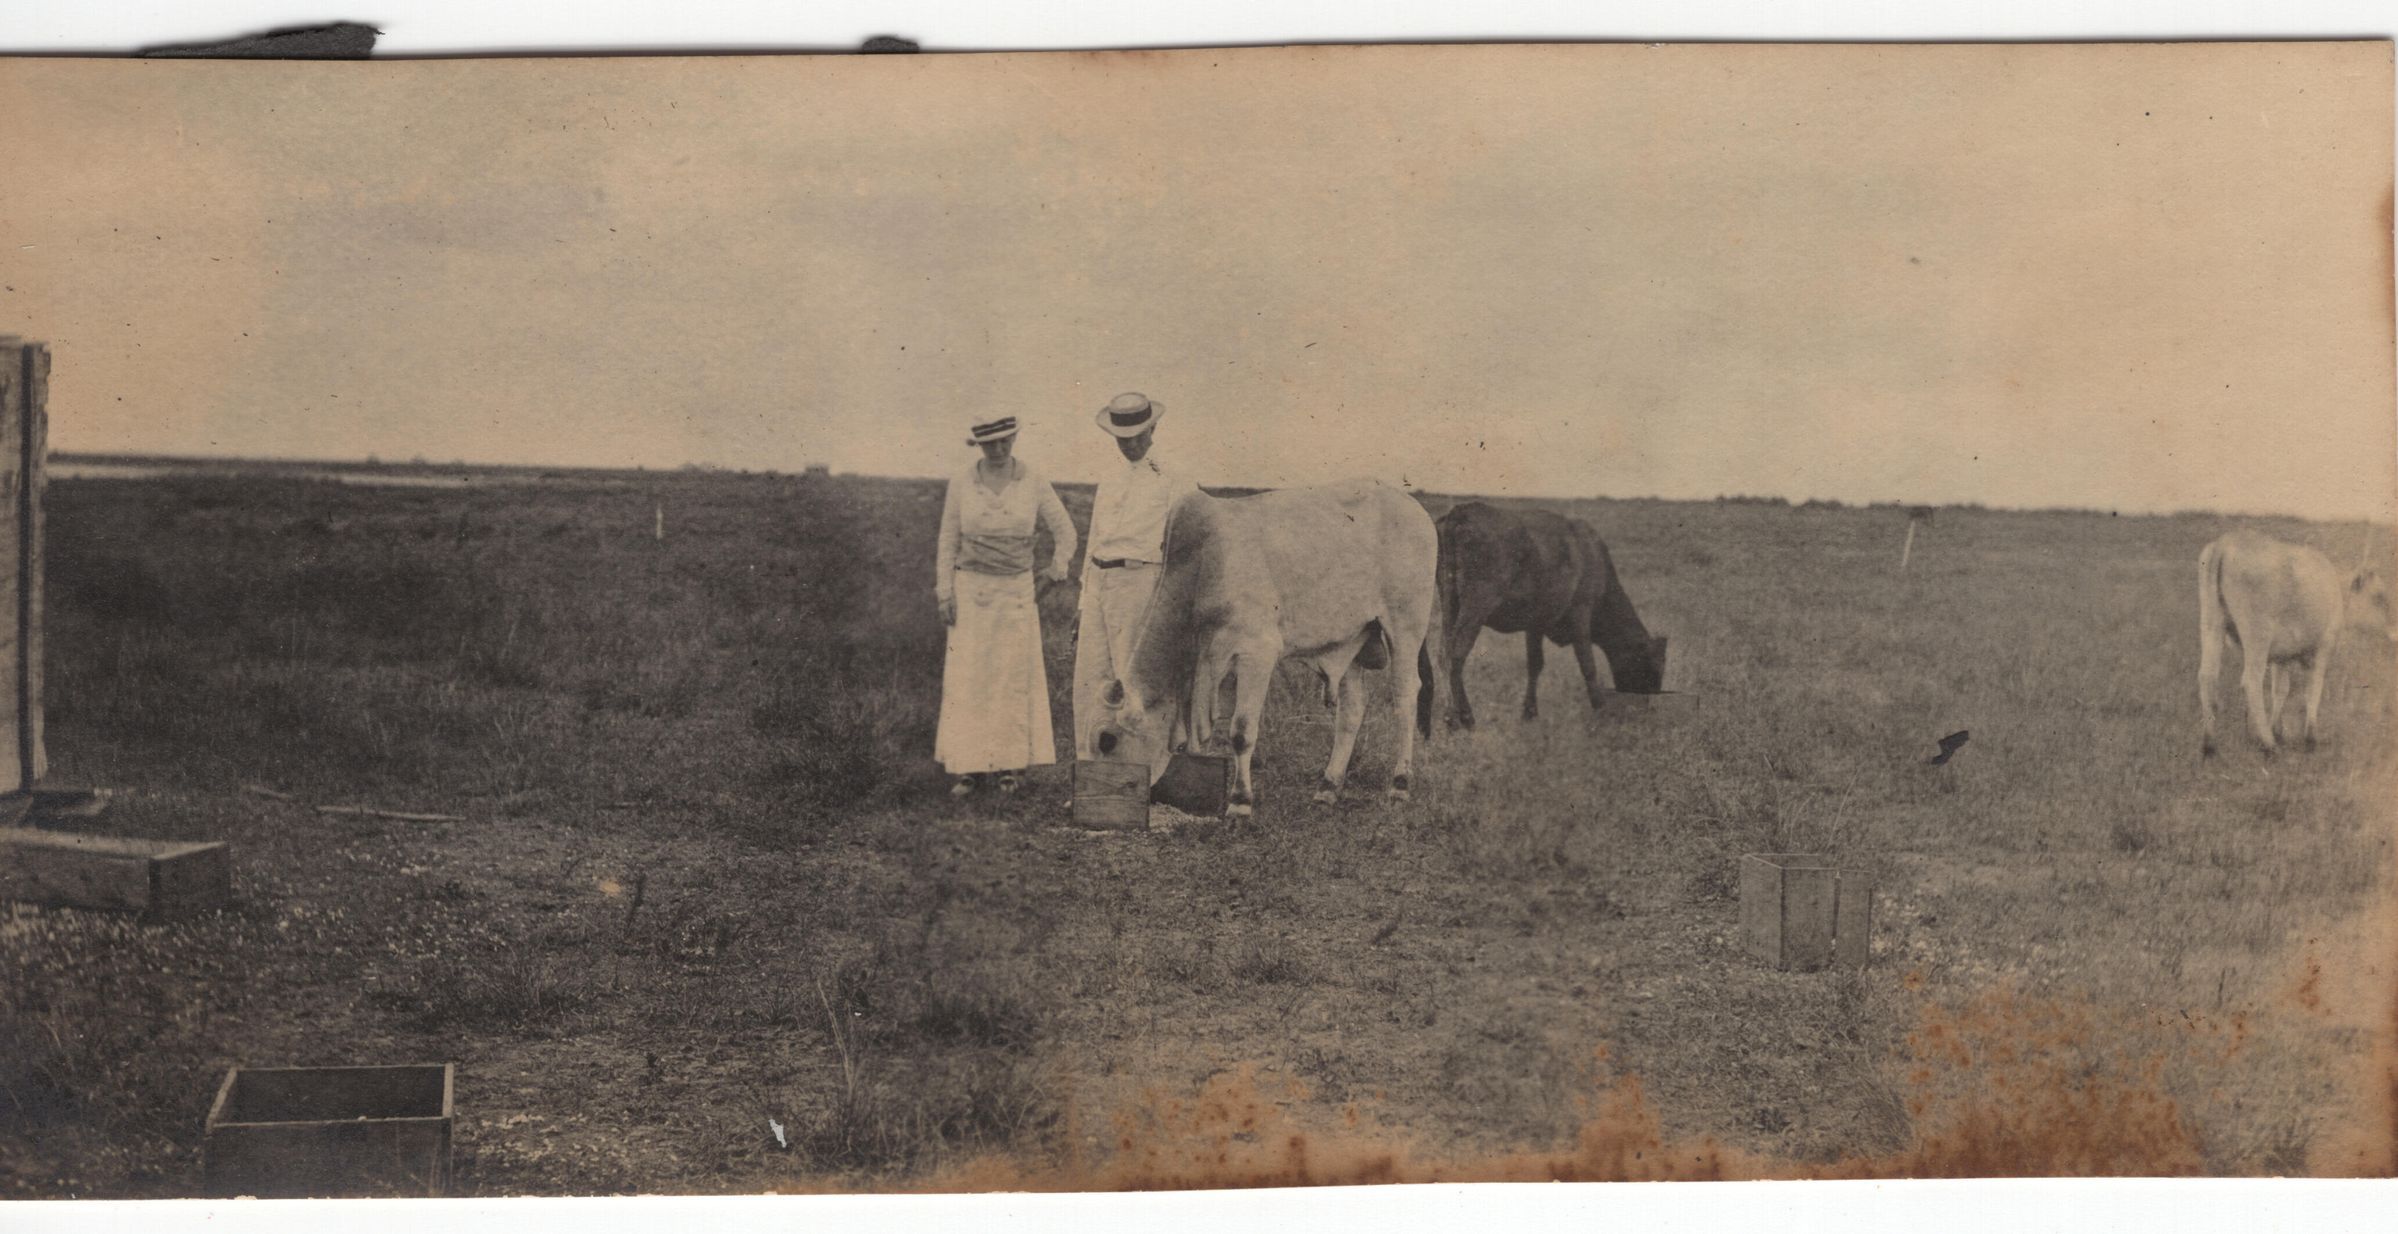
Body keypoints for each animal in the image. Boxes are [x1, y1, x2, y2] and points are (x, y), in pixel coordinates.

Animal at [1094, 480, 1439, 816]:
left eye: (1107, 741)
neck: (1203, 568)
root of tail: (1414, 507)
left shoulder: (1256, 652)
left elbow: (1241, 731)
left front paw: (1240, 802)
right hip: (1352, 637)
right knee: (1352, 708)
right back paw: (1328, 787)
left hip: (1405, 625)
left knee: (1405, 696)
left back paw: (1399, 785)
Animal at [1433, 501, 1668, 730]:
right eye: (1653, 668)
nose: (1647, 712)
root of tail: (1462, 510)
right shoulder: (1581, 611)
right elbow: (1588, 665)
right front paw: (1600, 711)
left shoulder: (1535, 623)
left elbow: (1535, 664)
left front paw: (1529, 713)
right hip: (1478, 601)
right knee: (1456, 653)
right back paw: (1465, 717)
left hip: (1449, 601)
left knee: (1443, 652)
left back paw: (1450, 718)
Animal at [2198, 530, 2393, 756]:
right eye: (2378, 597)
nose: (2393, 631)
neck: (2337, 591)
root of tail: (2226, 542)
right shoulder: (2323, 649)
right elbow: (2313, 689)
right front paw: (2310, 738)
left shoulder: (2281, 657)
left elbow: (2281, 690)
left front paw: (2277, 730)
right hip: (2257, 635)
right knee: (2251, 681)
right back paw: (2268, 745)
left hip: (2212, 625)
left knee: (2207, 677)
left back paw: (2209, 744)